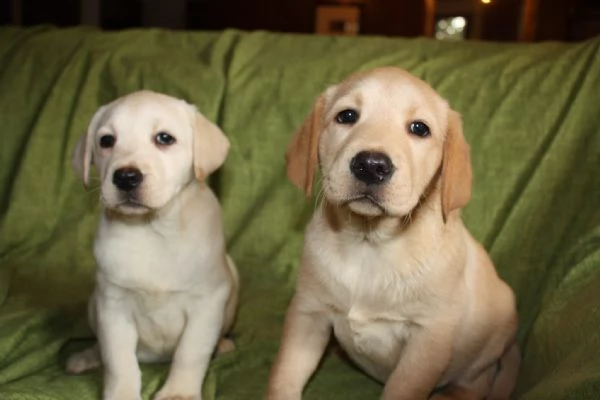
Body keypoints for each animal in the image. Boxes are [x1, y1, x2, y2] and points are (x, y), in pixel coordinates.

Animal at [67, 90, 238, 400]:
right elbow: (118, 360)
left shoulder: (206, 303)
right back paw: (86, 357)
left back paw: (222, 345)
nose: (126, 177)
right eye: (106, 141)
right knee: (101, 347)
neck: (152, 229)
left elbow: (190, 352)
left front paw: (179, 392)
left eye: (164, 138)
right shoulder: (112, 305)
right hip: (92, 304)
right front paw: (121, 393)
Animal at [264, 67, 516, 398]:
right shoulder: (308, 312)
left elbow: (402, 388)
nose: (371, 165)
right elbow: (285, 375)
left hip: (487, 346)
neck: (368, 243)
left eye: (419, 128)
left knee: (477, 382)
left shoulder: (426, 340)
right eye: (347, 116)